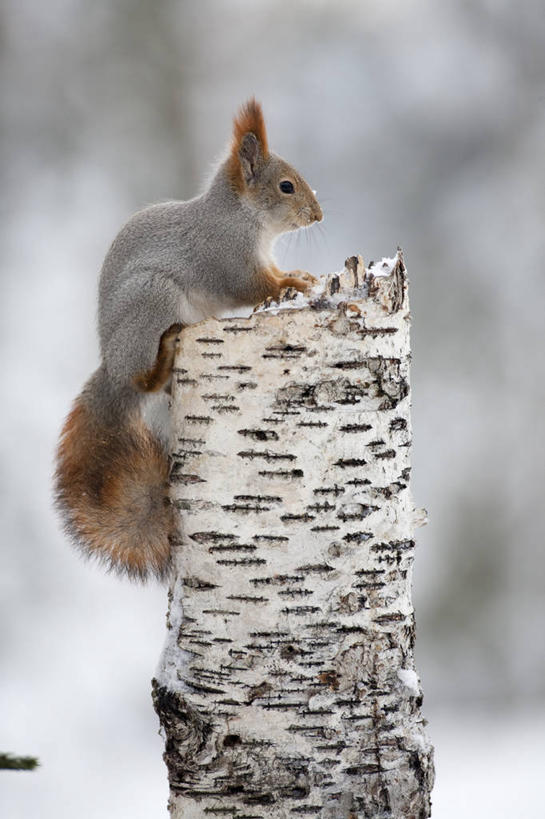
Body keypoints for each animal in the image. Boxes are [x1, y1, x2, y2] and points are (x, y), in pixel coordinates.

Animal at [54, 97, 324, 584]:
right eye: (287, 186)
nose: (319, 215)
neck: (242, 217)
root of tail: (112, 369)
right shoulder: (228, 260)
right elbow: (257, 287)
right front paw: (294, 283)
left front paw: (298, 275)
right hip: (154, 299)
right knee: (144, 378)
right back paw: (161, 356)